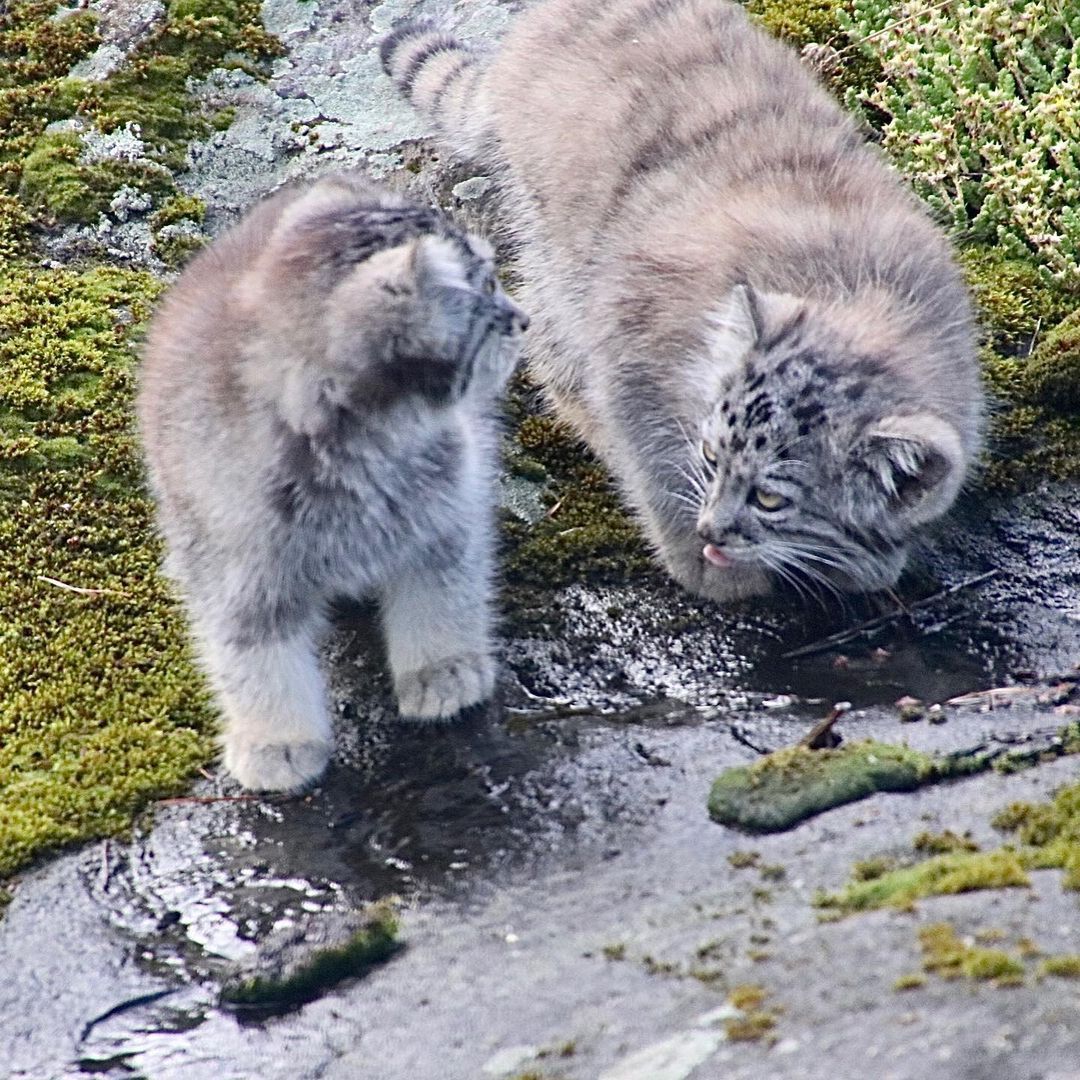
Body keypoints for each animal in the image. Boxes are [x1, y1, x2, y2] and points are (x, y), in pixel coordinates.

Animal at [139, 170, 527, 794]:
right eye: (487, 287)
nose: (523, 319)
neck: (357, 455)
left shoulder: (447, 516)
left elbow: (443, 596)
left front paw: (442, 668)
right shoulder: (233, 571)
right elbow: (253, 659)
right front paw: (276, 738)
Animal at [384, 0, 984, 609]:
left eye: (770, 499)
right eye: (712, 458)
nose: (711, 530)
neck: (853, 293)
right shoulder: (631, 348)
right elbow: (656, 465)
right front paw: (707, 568)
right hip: (556, 244)